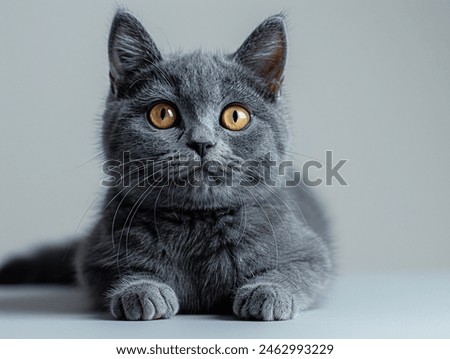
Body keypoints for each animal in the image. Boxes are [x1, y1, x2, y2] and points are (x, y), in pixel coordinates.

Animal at [0, 9, 332, 322]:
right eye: (162, 114)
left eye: (235, 116)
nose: (202, 142)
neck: (197, 224)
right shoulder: (95, 254)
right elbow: (121, 269)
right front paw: (143, 290)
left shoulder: (309, 249)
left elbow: (298, 269)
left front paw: (269, 292)